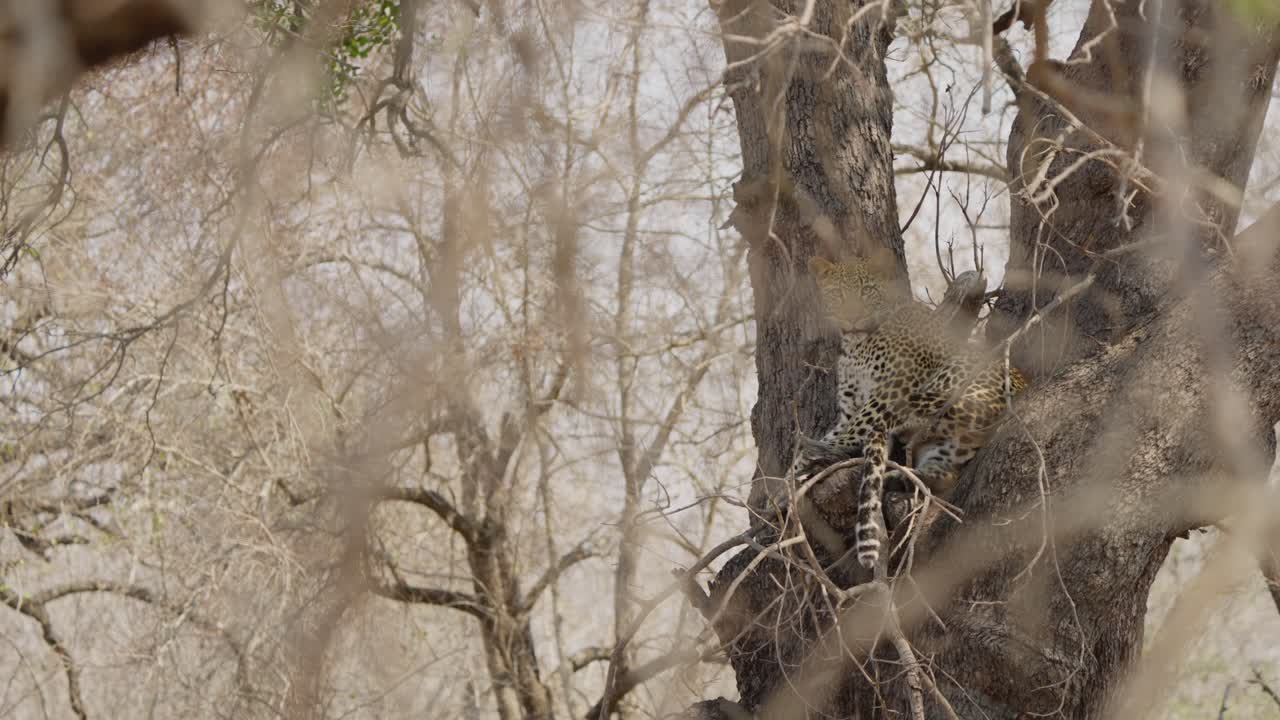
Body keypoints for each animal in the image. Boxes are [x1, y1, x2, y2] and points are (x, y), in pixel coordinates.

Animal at [788, 252, 1029, 570]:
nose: (852, 318)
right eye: (837, 294)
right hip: (949, 445)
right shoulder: (848, 410)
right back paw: (898, 477)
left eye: (866, 291)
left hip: (950, 375)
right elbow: (838, 431)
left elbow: (856, 428)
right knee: (942, 474)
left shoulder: (891, 388)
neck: (855, 346)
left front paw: (802, 464)